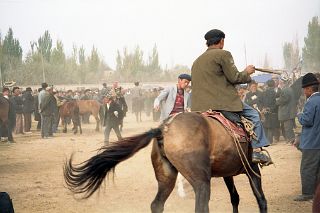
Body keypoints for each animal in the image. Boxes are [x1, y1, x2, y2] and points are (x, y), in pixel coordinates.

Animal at [63, 112, 266, 212]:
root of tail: (163, 129)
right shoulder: (252, 168)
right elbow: (261, 199)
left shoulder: (227, 173)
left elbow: (235, 198)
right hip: (201, 181)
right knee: (201, 206)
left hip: (166, 176)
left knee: (157, 205)